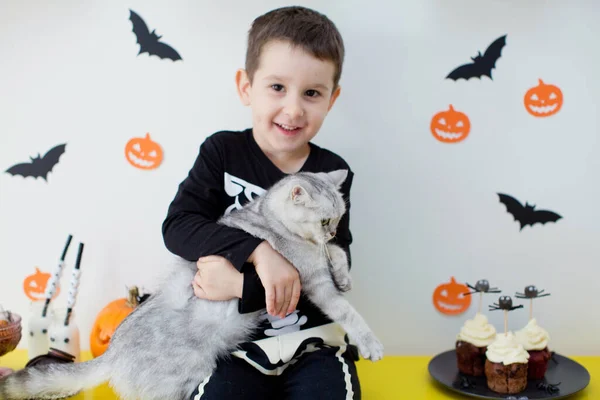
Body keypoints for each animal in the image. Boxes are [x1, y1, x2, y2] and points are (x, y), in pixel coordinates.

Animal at [0, 170, 382, 400]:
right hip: (175, 386)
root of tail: (113, 352)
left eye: (339, 218)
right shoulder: (311, 280)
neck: (272, 219)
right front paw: (370, 343)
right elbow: (349, 313)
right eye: (325, 220)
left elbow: (338, 254)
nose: (333, 231)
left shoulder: (322, 258)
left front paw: (344, 272)